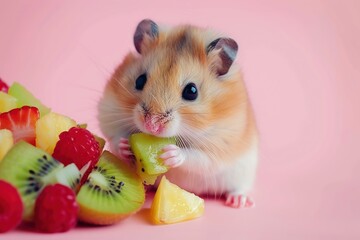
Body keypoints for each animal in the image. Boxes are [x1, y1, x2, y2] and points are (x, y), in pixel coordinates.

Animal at [97, 19, 258, 208]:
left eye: (192, 91)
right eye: (139, 80)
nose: (151, 125)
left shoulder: (220, 146)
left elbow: (197, 157)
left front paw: (170, 153)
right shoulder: (109, 113)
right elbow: (115, 137)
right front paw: (125, 146)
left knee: (239, 187)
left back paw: (238, 201)